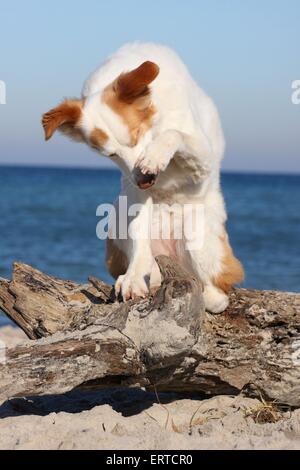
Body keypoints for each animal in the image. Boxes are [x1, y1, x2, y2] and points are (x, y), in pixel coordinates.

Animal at [42, 41, 244, 312]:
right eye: (110, 154)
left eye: (137, 134)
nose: (144, 180)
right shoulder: (134, 187)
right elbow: (138, 230)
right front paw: (134, 277)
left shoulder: (203, 158)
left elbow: (174, 133)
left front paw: (155, 155)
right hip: (118, 218)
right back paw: (138, 275)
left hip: (198, 232)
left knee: (218, 290)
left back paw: (210, 294)